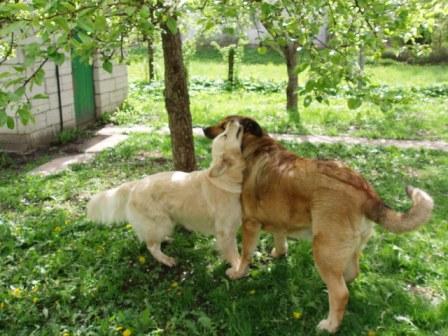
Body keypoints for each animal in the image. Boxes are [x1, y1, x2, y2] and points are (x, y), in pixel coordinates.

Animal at [87, 121, 245, 270]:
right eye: (225, 135)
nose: (231, 122)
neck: (226, 178)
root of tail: (136, 184)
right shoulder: (226, 231)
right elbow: (234, 254)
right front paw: (238, 270)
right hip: (161, 223)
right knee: (151, 246)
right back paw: (166, 259)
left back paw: (166, 240)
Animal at [204, 115, 434, 334]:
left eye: (224, 126)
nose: (204, 129)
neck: (256, 145)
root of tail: (366, 192)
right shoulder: (279, 216)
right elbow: (280, 237)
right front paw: (279, 253)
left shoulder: (250, 223)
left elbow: (245, 255)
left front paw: (238, 273)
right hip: (345, 250)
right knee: (349, 275)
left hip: (323, 249)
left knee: (341, 293)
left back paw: (330, 325)